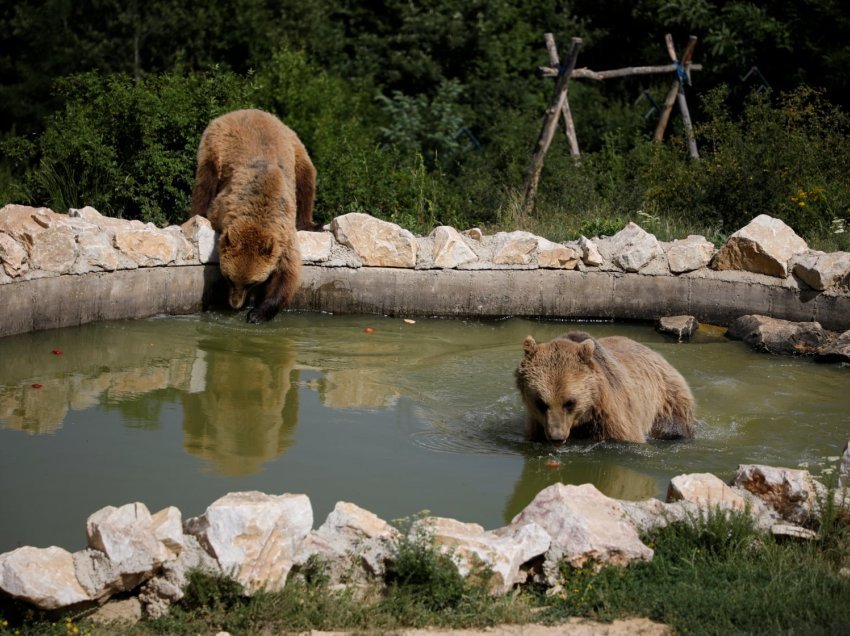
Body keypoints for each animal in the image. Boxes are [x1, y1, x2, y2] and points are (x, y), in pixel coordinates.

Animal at [190, 108, 316, 322]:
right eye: (229, 278)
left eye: (252, 283)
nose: (235, 304)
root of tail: (249, 110)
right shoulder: (222, 207)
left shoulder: (284, 235)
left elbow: (287, 274)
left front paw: (257, 314)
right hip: (215, 144)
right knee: (205, 182)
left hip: (295, 146)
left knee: (306, 179)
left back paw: (308, 223)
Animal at [512, 332, 692, 442]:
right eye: (540, 403)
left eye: (569, 403)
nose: (556, 437)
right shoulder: (537, 425)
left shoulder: (611, 418)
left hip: (666, 400)